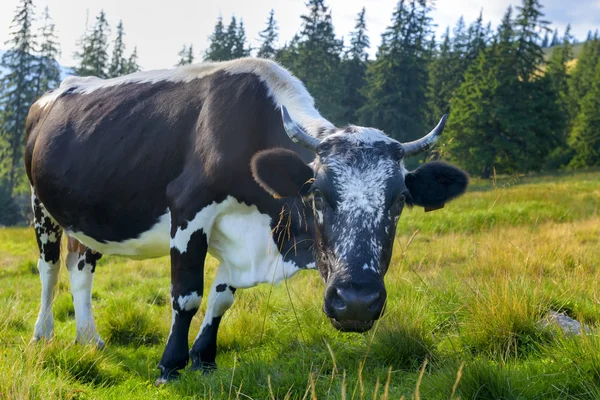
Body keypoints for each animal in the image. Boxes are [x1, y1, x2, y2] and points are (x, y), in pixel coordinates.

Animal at [25, 57, 468, 382]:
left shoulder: (242, 237)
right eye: (318, 195)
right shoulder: (189, 212)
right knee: (49, 270)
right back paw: (42, 335)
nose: (356, 301)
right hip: (40, 205)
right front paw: (170, 365)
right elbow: (187, 296)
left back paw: (90, 339)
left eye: (399, 200)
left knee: (81, 269)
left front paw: (204, 360)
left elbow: (221, 298)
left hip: (85, 218)